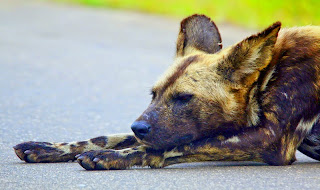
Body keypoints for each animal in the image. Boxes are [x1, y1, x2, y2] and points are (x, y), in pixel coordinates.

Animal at [13, 14, 320, 170]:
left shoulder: (271, 141)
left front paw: (118, 157)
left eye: (184, 98)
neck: (265, 78)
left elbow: (170, 146)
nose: (137, 127)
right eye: (154, 94)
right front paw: (48, 148)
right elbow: (104, 137)